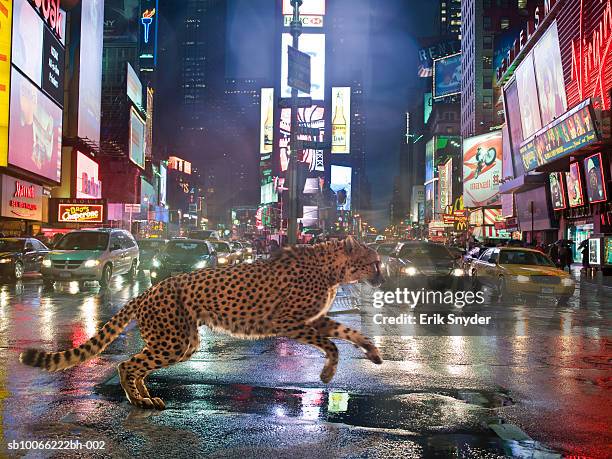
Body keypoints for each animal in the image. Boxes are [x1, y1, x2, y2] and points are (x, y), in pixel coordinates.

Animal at [19, 237, 382, 410]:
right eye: (374, 262)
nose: (381, 278)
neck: (332, 270)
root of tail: (149, 289)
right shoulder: (289, 322)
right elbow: (332, 343)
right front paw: (328, 373)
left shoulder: (313, 319)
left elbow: (346, 332)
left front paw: (373, 352)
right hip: (174, 341)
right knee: (126, 364)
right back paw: (138, 401)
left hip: (181, 342)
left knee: (137, 366)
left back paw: (146, 397)